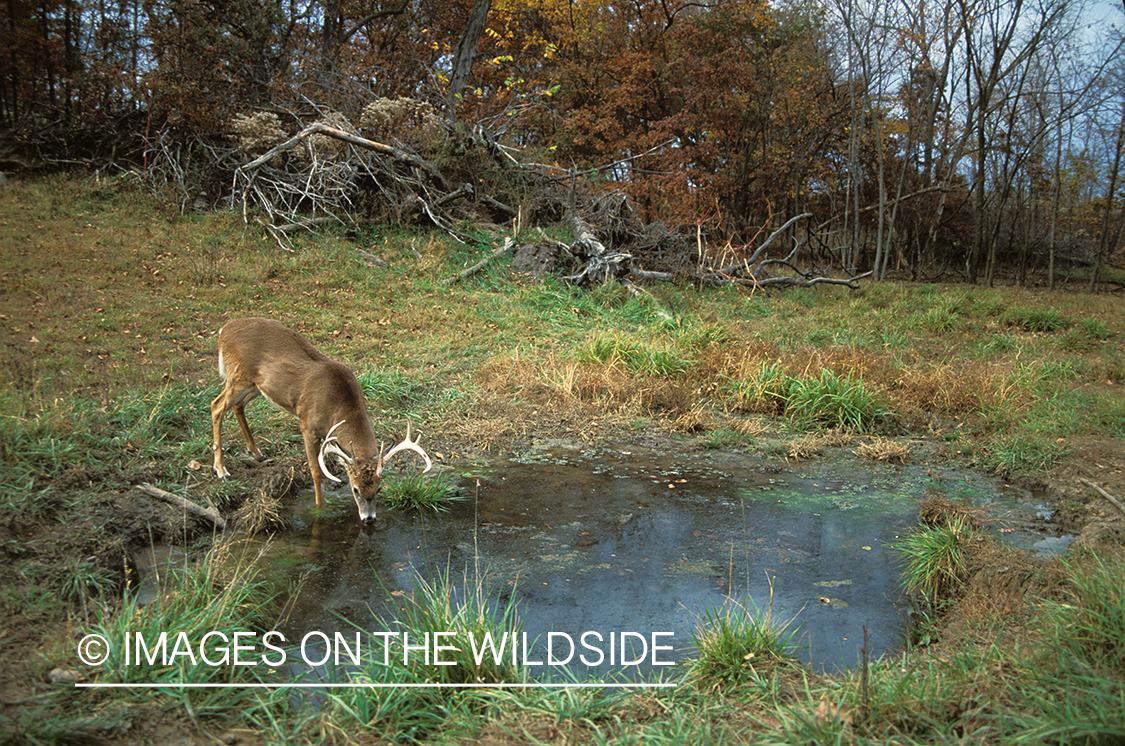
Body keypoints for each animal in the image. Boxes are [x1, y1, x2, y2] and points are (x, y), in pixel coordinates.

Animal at [209, 317, 432, 522]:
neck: (339, 405)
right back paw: (221, 470)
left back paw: (257, 453)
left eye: (378, 489)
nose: (369, 519)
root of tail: (223, 330)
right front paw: (319, 508)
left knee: (238, 405)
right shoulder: (307, 424)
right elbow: (316, 471)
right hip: (238, 376)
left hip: (256, 386)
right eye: (355, 489)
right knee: (216, 406)